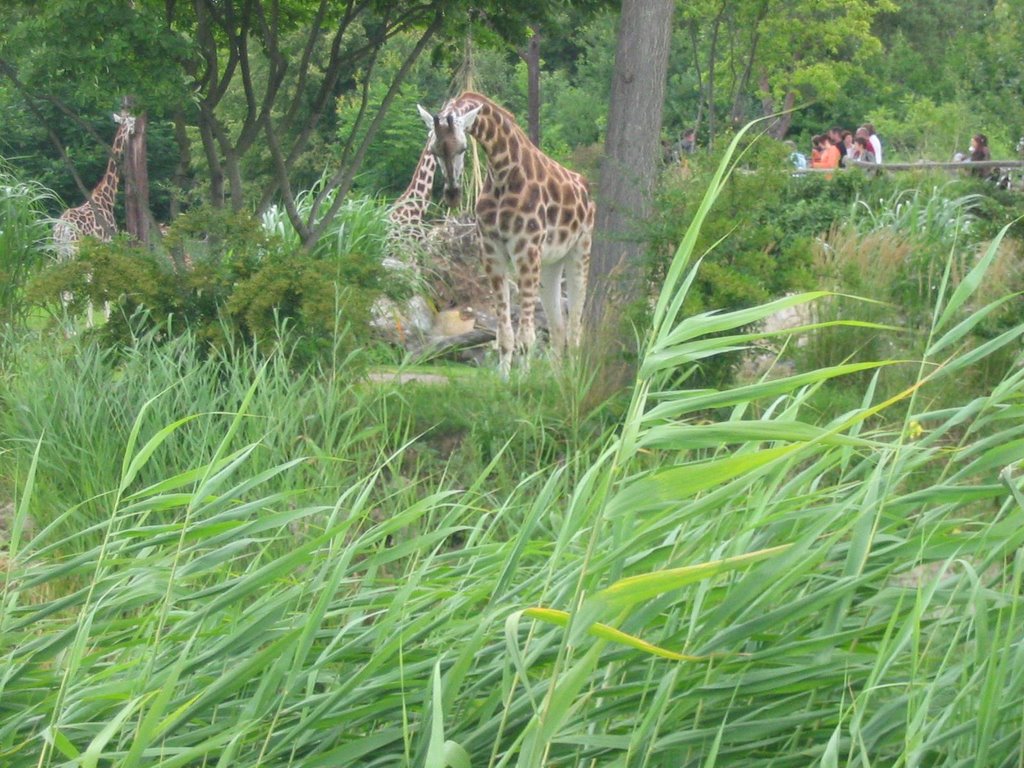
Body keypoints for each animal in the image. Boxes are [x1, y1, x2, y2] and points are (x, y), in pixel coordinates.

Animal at [415, 91, 593, 376]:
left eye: (463, 148)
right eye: (433, 150)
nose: (452, 195)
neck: (502, 173)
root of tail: (585, 188)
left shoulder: (526, 251)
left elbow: (527, 336)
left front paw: (523, 381)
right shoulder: (492, 253)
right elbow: (505, 335)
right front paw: (506, 379)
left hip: (580, 251)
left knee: (575, 328)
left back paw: (573, 379)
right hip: (550, 265)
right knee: (558, 327)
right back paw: (557, 380)